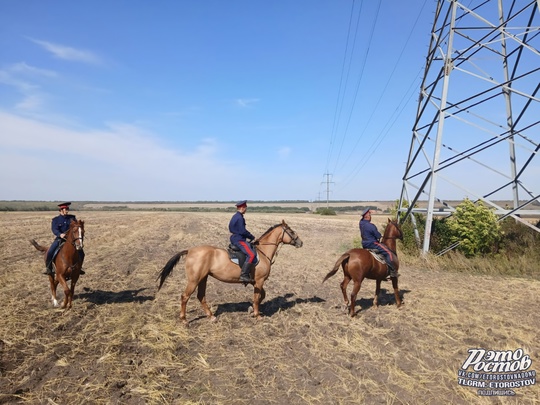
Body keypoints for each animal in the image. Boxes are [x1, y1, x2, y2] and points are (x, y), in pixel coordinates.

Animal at [157, 219, 304, 324]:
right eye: (291, 231)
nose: (301, 243)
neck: (263, 252)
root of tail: (190, 251)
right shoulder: (259, 281)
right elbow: (257, 298)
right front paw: (257, 315)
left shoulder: (256, 282)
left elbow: (262, 296)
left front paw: (251, 310)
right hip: (194, 280)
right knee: (185, 297)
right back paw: (184, 320)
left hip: (203, 278)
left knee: (201, 296)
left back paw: (211, 316)